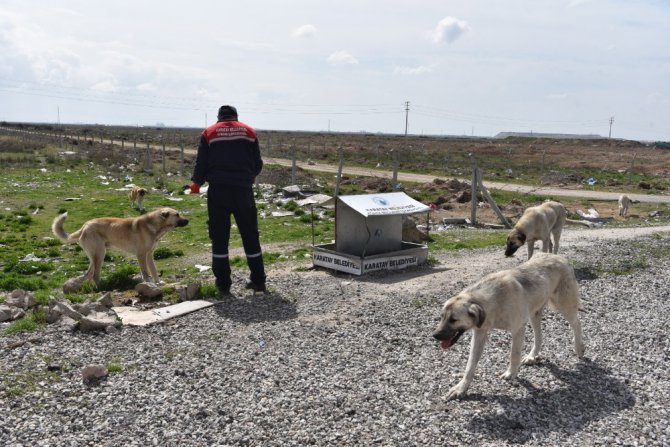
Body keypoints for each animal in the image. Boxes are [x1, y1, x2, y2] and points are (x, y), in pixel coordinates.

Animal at [51, 208, 189, 288]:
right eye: (177, 214)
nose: (188, 220)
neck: (155, 226)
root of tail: (85, 225)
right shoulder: (141, 255)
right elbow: (145, 272)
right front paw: (149, 283)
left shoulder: (149, 255)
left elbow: (154, 270)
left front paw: (158, 282)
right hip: (100, 254)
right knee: (94, 274)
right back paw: (102, 286)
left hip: (94, 256)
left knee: (88, 273)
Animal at [434, 252, 584, 402]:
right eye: (442, 317)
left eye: (453, 320)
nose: (434, 335)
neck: (493, 301)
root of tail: (556, 256)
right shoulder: (479, 333)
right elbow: (470, 365)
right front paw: (461, 388)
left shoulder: (518, 329)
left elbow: (514, 354)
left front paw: (511, 373)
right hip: (534, 314)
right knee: (539, 336)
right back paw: (532, 356)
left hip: (564, 306)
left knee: (577, 323)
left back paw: (579, 348)